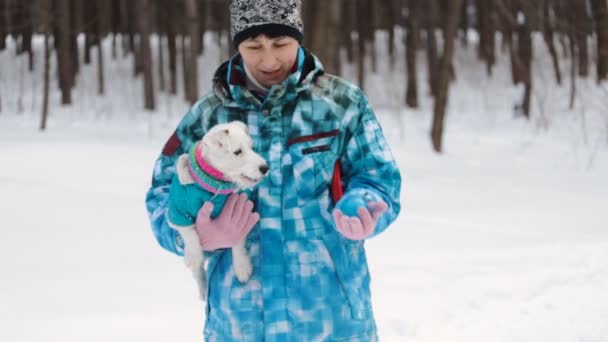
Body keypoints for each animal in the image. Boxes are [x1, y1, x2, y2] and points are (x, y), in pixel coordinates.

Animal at [167, 120, 270, 300]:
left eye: (251, 147)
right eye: (237, 151)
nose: (265, 167)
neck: (214, 183)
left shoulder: (237, 214)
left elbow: (236, 238)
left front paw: (242, 267)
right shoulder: (177, 211)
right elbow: (189, 232)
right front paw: (193, 255)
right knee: (198, 272)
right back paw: (202, 287)